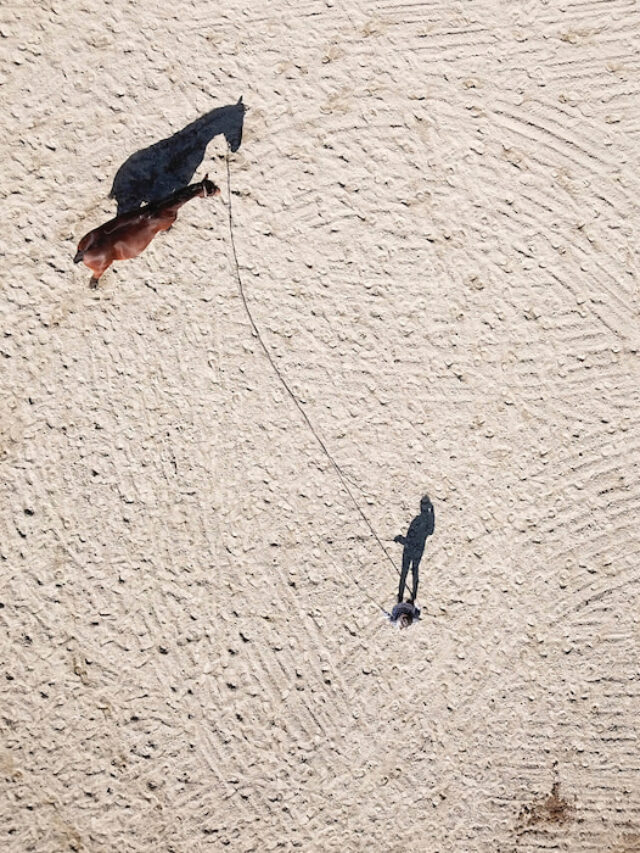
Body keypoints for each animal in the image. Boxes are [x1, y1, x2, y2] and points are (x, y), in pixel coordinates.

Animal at [74, 175, 220, 286]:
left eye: (212, 184)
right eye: (211, 190)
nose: (220, 190)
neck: (162, 209)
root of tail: (84, 251)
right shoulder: (167, 223)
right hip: (101, 268)